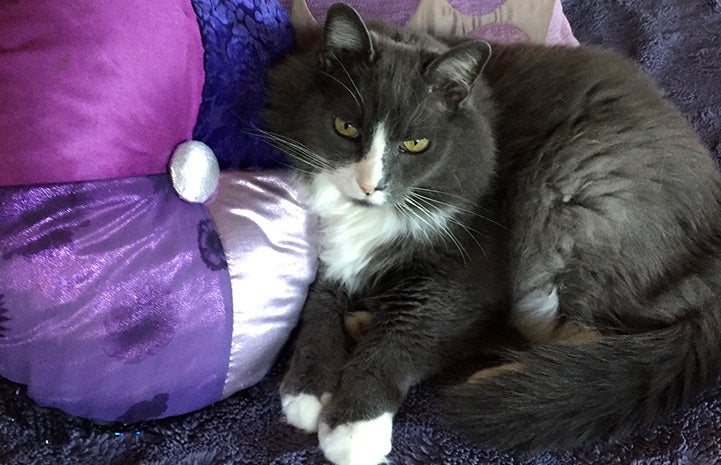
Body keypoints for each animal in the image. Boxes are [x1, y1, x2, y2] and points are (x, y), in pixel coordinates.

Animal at [260, 3, 720, 464]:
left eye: (415, 144)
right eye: (346, 128)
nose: (368, 185)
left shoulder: (467, 268)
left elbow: (405, 334)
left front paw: (355, 427)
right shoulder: (328, 249)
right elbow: (317, 305)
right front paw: (308, 388)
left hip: (564, 186)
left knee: (582, 334)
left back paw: (515, 384)